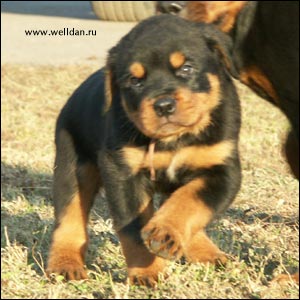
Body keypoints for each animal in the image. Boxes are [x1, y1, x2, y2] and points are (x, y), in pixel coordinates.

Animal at [47, 14, 244, 286]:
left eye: (186, 68)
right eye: (135, 80)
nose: (163, 105)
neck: (173, 140)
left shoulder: (222, 169)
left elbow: (189, 201)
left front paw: (165, 234)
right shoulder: (122, 173)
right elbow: (133, 230)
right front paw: (147, 273)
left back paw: (207, 253)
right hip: (72, 166)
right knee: (70, 218)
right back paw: (65, 264)